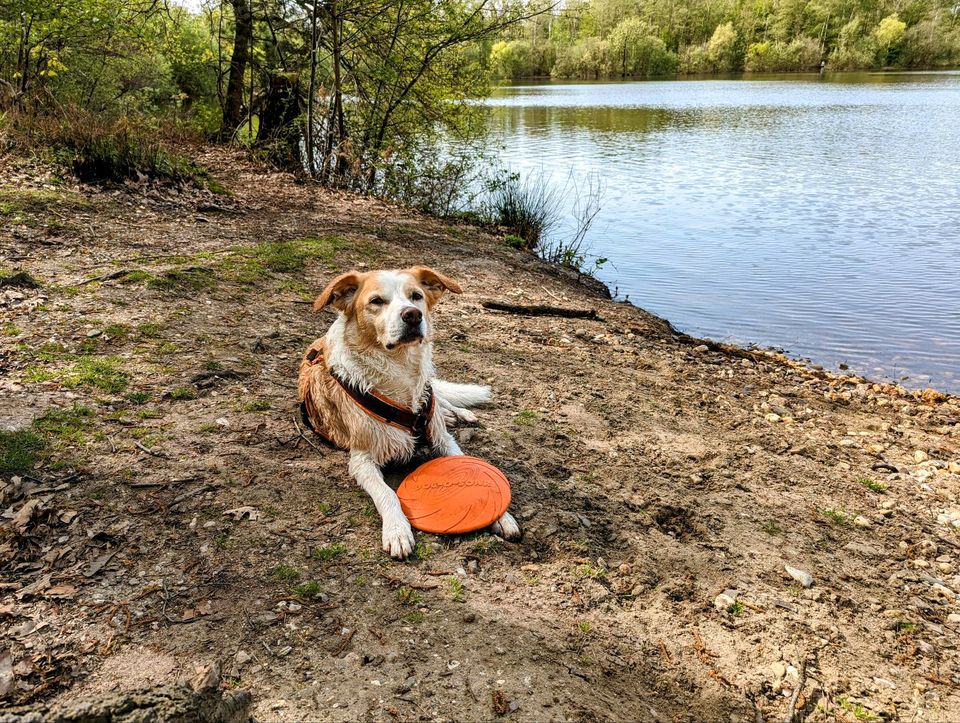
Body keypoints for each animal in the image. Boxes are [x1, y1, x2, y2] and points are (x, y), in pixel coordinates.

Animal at [300, 268, 520, 556]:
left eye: (416, 296)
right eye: (376, 301)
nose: (413, 315)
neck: (400, 367)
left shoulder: (442, 439)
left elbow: (472, 467)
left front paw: (502, 516)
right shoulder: (361, 460)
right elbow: (387, 493)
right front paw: (397, 530)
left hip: (433, 393)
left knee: (442, 397)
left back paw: (458, 413)